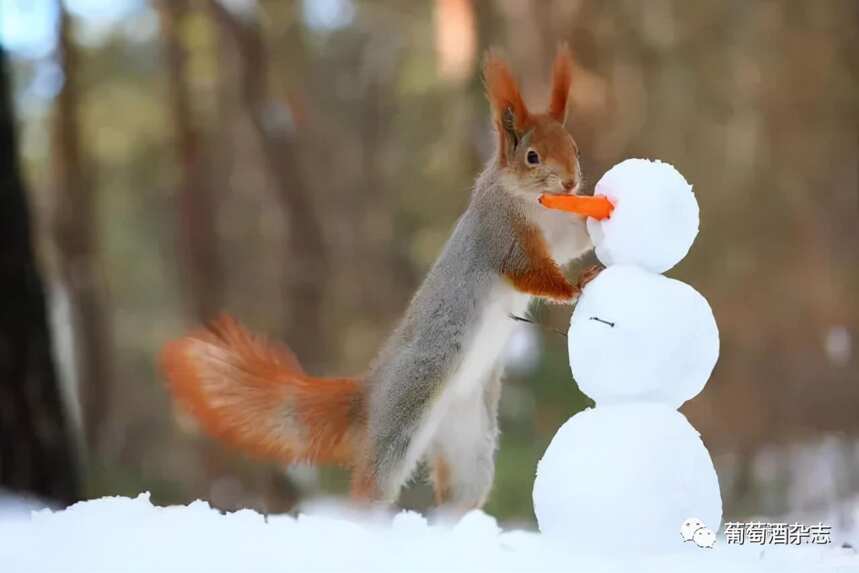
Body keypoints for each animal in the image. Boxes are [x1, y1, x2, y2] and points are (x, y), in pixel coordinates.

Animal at [165, 45, 600, 510]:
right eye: (532, 157)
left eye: (574, 146)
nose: (571, 181)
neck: (534, 204)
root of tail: (372, 395)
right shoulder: (502, 235)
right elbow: (530, 273)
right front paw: (576, 286)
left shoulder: (557, 234)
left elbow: (573, 242)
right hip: (404, 418)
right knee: (372, 485)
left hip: (469, 439)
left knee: (459, 494)